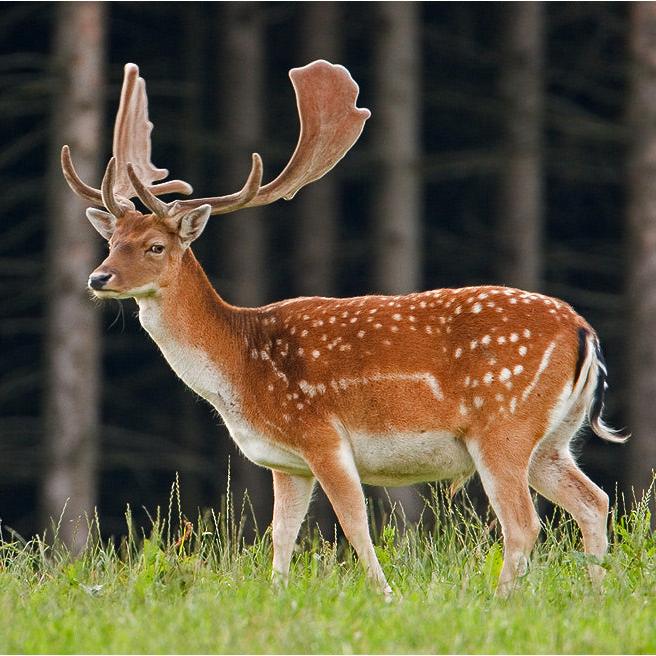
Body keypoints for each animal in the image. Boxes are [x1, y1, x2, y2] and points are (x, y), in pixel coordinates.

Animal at [62, 61, 632, 600]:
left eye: (155, 246)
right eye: (112, 241)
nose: (98, 278)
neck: (240, 370)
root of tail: (585, 332)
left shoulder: (322, 434)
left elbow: (355, 525)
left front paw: (386, 596)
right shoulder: (286, 463)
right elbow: (281, 535)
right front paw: (277, 597)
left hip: (502, 424)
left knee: (524, 523)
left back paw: (502, 601)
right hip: (553, 439)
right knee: (593, 500)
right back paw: (595, 596)